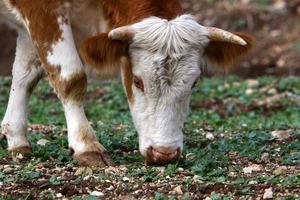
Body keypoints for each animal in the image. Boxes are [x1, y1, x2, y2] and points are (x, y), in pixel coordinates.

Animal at [0, 0, 253, 166]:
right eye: (138, 81)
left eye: (194, 83)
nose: (164, 153)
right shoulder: (43, 11)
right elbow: (71, 77)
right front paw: (86, 145)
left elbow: (25, 76)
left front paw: (16, 137)